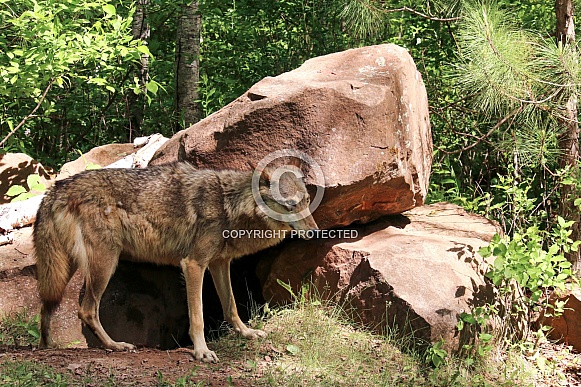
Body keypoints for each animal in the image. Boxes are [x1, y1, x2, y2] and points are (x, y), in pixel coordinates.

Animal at [34, 159, 318, 362]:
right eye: (290, 205)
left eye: (306, 201)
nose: (315, 232)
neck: (229, 205)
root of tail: (57, 187)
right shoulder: (193, 264)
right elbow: (198, 317)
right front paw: (201, 352)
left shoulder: (219, 264)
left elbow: (231, 308)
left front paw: (247, 334)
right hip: (104, 264)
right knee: (86, 310)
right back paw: (115, 346)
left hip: (64, 267)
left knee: (47, 306)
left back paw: (45, 347)